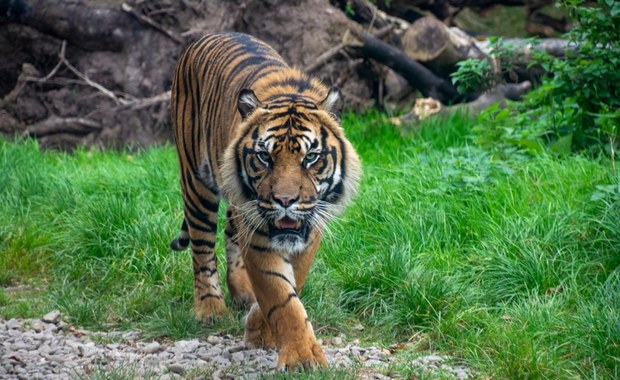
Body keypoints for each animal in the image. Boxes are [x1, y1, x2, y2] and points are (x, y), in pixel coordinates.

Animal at [170, 34, 364, 370]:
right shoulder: (260, 234)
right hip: (196, 182)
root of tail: (206, 37)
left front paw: (261, 329)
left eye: (310, 157)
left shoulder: (309, 229)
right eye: (264, 156)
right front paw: (301, 357)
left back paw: (243, 292)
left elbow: (291, 283)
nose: (285, 200)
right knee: (202, 248)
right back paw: (210, 310)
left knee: (230, 232)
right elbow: (280, 296)